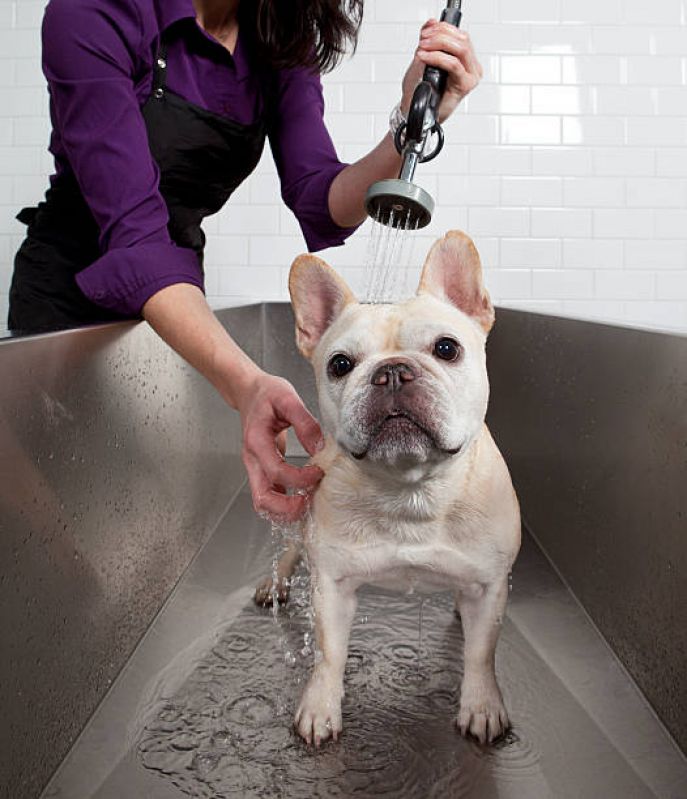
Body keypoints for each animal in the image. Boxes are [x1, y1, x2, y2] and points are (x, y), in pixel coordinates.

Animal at [256, 231, 520, 752]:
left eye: (447, 348)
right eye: (340, 364)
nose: (393, 371)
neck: (410, 490)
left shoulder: (488, 586)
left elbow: (481, 654)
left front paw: (482, 705)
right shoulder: (334, 586)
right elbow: (330, 653)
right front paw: (320, 706)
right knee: (290, 552)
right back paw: (273, 585)